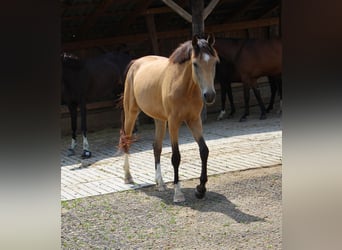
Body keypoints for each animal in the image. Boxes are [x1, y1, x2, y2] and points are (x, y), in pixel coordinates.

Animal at [118, 35, 219, 203]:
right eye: (195, 64)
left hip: (159, 120)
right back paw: (128, 177)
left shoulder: (194, 120)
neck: (185, 87)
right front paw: (178, 193)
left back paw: (160, 183)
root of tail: (136, 62)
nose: (209, 95)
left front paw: (200, 189)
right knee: (126, 141)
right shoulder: (173, 123)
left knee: (156, 147)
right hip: (131, 113)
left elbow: (204, 151)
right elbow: (176, 156)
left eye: (215, 62)